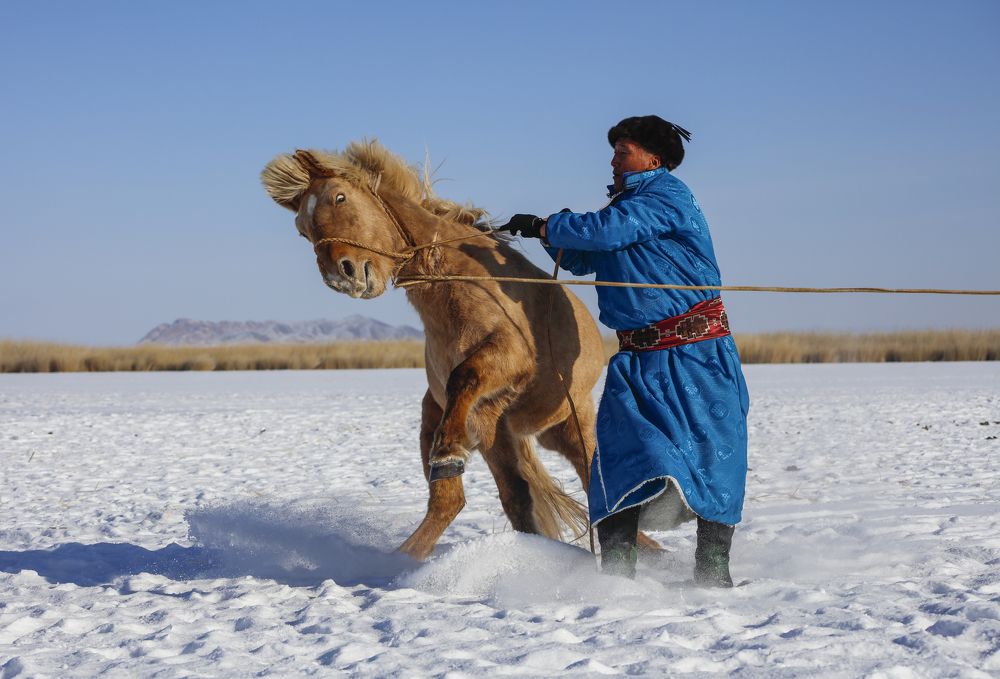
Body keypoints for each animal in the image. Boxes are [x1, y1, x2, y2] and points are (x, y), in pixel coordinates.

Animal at [261, 140, 653, 560]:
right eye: (303, 231)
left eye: (340, 197)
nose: (343, 275)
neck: (460, 282)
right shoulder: (479, 410)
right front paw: (448, 458)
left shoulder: (511, 355)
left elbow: (466, 375)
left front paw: (449, 450)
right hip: (489, 430)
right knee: (489, 498)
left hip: (569, 423)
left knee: (591, 483)